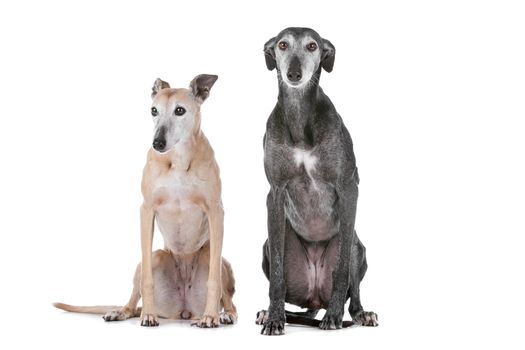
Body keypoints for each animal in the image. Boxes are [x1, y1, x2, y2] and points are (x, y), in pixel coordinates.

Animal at [52, 74, 235, 328]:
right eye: (153, 110)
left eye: (180, 110)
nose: (157, 143)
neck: (178, 160)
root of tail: (184, 311)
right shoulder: (146, 210)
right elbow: (146, 280)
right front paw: (148, 315)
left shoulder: (216, 212)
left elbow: (213, 280)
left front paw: (211, 316)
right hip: (156, 257)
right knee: (134, 295)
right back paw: (123, 311)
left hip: (214, 259)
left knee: (227, 296)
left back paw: (223, 314)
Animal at [254, 26, 376, 334]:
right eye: (283, 45)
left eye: (312, 46)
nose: (294, 74)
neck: (300, 119)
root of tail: (315, 297)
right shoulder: (275, 193)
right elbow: (277, 278)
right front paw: (274, 318)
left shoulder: (348, 188)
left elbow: (342, 269)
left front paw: (334, 315)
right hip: (270, 245)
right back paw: (269, 312)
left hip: (357, 246)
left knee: (353, 292)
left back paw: (359, 313)